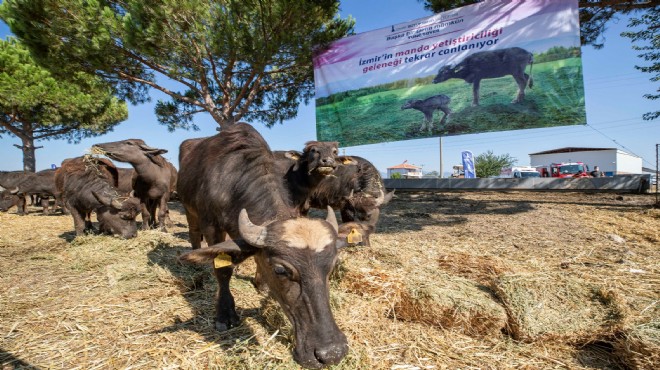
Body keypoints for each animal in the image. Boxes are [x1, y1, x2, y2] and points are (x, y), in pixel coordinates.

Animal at [175, 123, 350, 368]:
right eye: (280, 270)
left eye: (331, 266)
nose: (332, 353)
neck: (232, 178)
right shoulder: (211, 226)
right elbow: (223, 270)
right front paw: (225, 314)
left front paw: (261, 284)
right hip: (188, 208)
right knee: (193, 232)